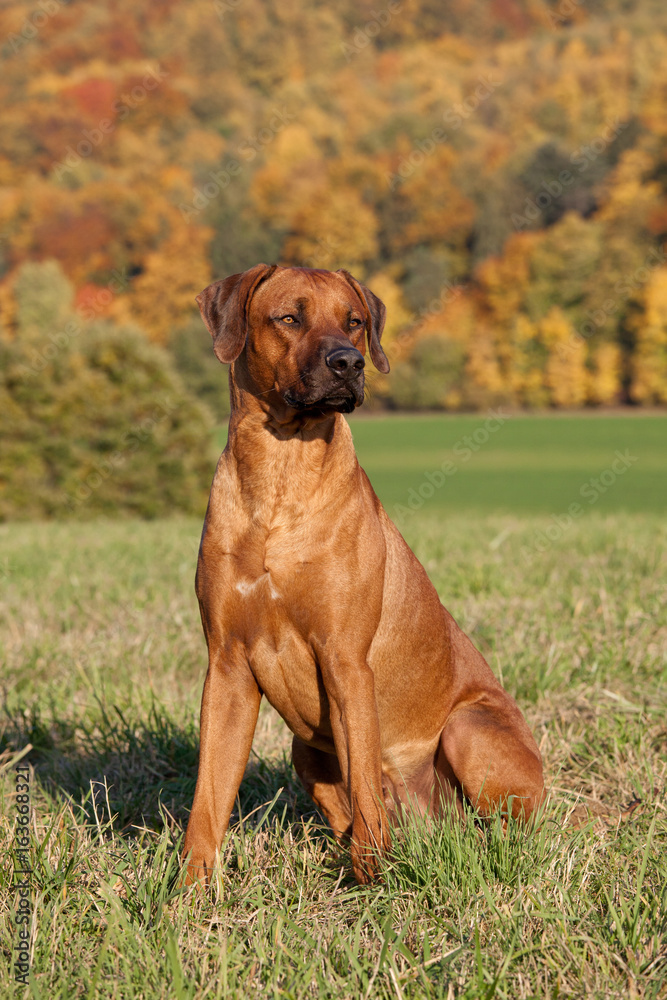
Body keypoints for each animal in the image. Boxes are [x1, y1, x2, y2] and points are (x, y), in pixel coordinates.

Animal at [181, 266, 544, 884]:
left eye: (353, 321)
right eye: (289, 317)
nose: (349, 362)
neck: (280, 474)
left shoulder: (346, 659)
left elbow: (363, 782)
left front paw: (373, 879)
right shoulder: (227, 663)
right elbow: (210, 794)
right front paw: (187, 887)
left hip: (469, 729)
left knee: (501, 827)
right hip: (306, 750)